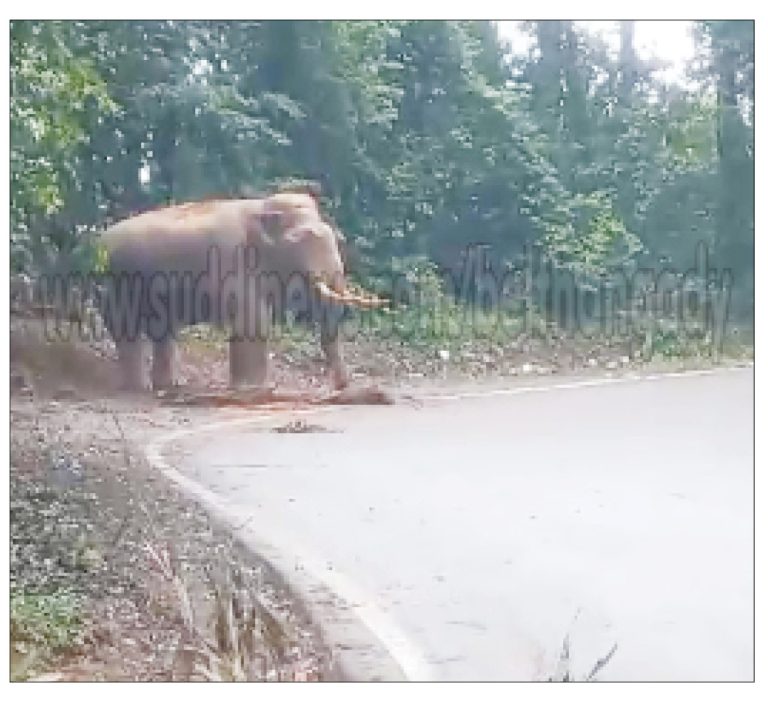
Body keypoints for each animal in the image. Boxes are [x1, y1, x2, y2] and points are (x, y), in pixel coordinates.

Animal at [97, 190, 384, 394]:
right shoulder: (229, 258)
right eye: (304, 239)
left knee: (162, 331)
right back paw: (139, 388)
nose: (340, 387)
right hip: (115, 283)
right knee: (127, 331)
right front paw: (258, 389)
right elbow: (253, 320)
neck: (261, 206)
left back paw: (170, 386)